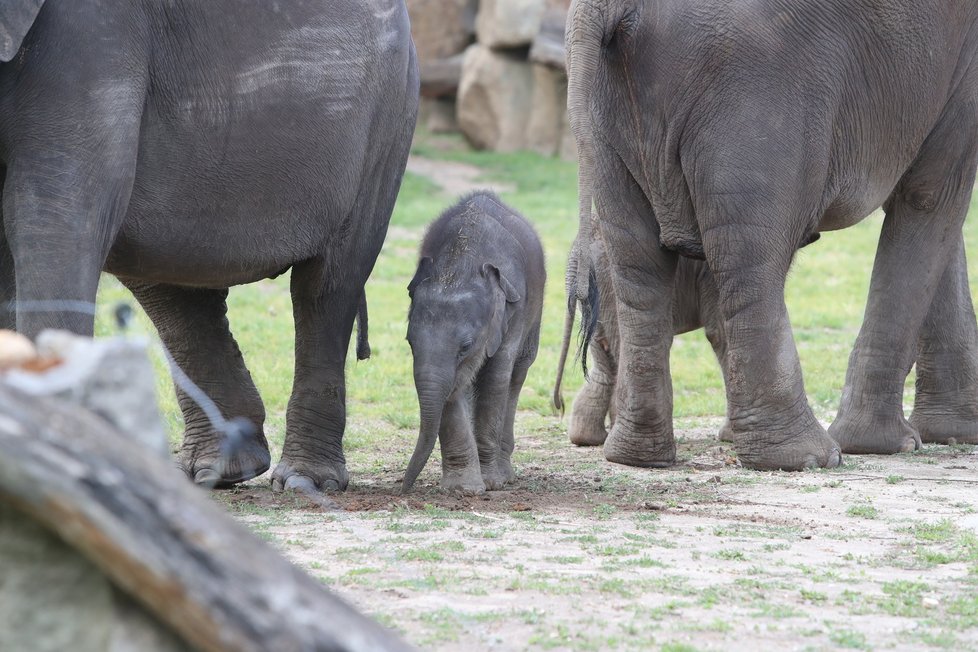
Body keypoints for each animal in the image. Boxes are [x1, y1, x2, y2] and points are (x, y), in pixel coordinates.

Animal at [0, 0, 420, 494]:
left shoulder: (88, 35)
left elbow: (55, 214)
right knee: (171, 284)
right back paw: (218, 469)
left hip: (387, 119)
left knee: (327, 287)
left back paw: (304, 481)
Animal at [400, 194, 544, 494]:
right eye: (410, 342)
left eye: (466, 346)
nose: (403, 489)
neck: (460, 264)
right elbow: (456, 390)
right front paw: (462, 489)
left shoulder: (513, 313)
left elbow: (494, 379)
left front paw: (491, 483)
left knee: (517, 376)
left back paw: (505, 476)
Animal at [564, 0, 976, 472]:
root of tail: (603, 7)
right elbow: (930, 195)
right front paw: (886, 444)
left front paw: (952, 434)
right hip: (754, 85)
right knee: (748, 260)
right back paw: (806, 457)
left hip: (609, 116)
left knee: (637, 263)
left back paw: (637, 457)